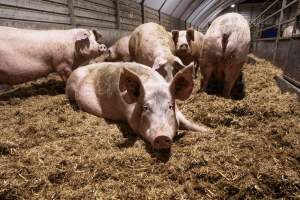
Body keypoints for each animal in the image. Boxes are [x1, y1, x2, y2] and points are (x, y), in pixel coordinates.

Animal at [66, 61, 209, 149]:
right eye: (146, 108)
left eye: (170, 107)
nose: (162, 136)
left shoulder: (179, 113)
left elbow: (190, 124)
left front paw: (208, 131)